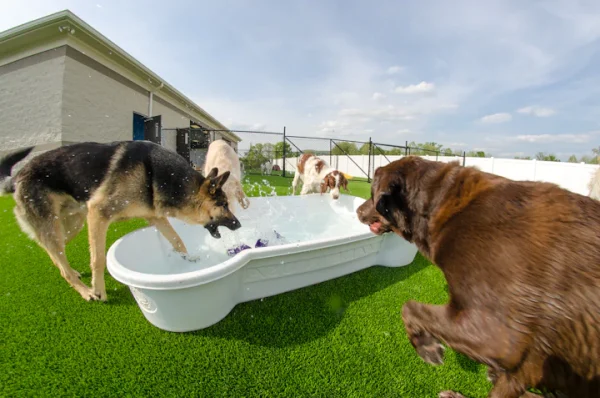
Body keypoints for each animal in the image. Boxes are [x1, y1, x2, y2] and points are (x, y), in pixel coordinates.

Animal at [0, 141, 239, 300]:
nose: (239, 224)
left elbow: (178, 240)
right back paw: (85, 291)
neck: (155, 174)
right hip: (58, 225)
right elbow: (97, 259)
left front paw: (188, 262)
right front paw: (98, 290)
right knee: (57, 257)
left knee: (53, 252)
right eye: (224, 205)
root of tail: (17, 177)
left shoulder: (155, 217)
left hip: (72, 225)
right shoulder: (98, 214)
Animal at [356, 156, 600, 398]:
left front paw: (426, 347)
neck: (442, 206)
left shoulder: (498, 336)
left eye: (372, 192)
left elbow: (408, 307)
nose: (358, 210)